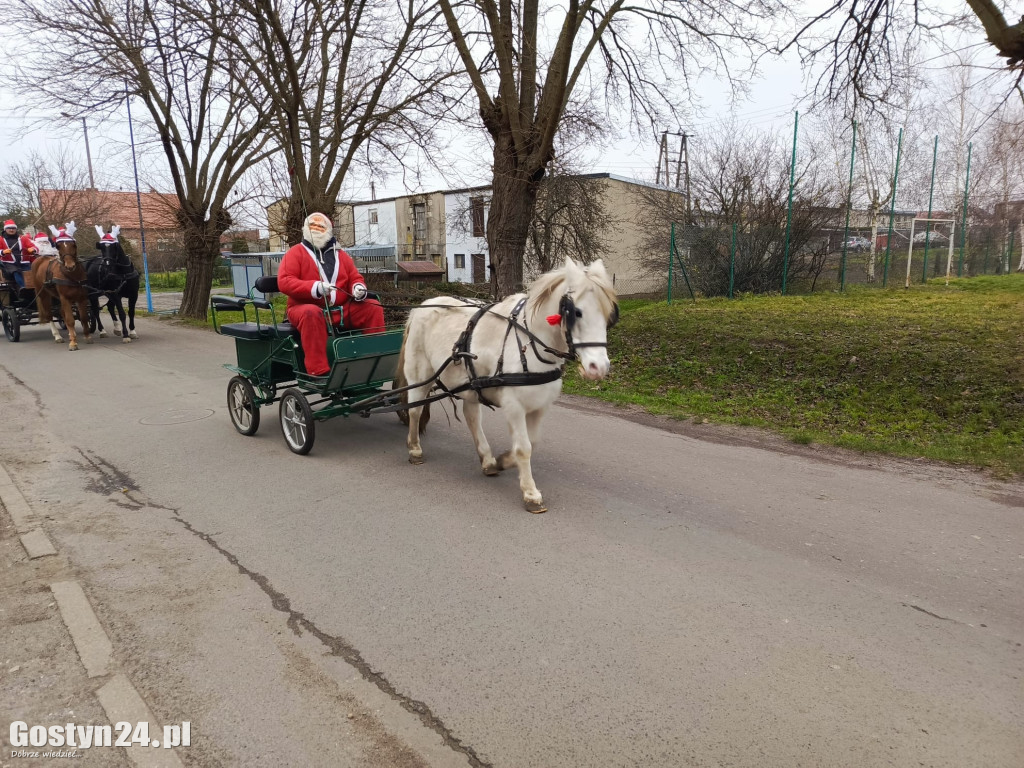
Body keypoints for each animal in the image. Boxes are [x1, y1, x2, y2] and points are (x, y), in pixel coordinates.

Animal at [395, 260, 614, 518]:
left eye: (609, 314)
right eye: (576, 312)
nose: (598, 367)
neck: (530, 343)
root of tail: (422, 306)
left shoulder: (540, 406)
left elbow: (533, 442)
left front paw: (502, 461)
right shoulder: (514, 407)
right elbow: (524, 448)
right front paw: (531, 493)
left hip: (471, 384)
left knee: (471, 417)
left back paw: (488, 459)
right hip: (420, 375)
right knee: (415, 410)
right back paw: (415, 449)